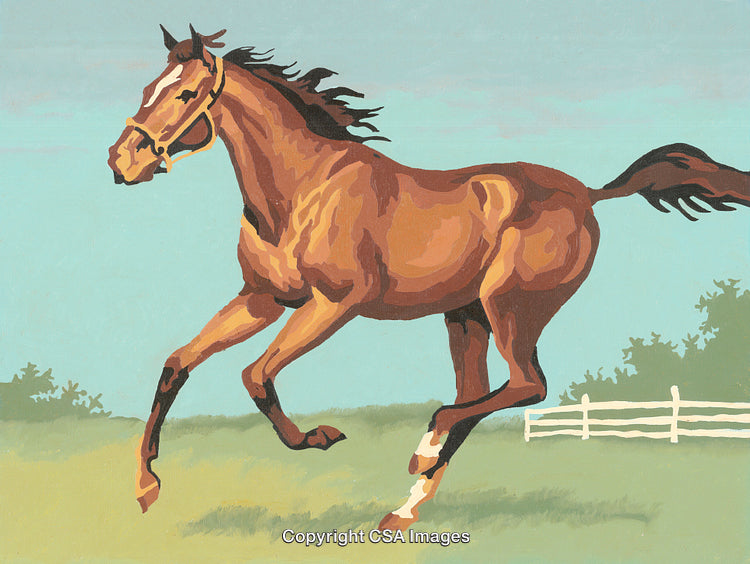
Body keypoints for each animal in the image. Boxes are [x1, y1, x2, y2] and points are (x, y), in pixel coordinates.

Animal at [108, 26, 750, 530]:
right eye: (147, 89)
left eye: (186, 92)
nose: (122, 163)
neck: (302, 189)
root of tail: (587, 193)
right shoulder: (263, 299)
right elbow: (178, 364)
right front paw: (145, 488)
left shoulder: (333, 304)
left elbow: (255, 375)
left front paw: (320, 438)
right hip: (465, 315)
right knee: (479, 395)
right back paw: (403, 510)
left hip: (510, 307)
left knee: (522, 387)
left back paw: (421, 454)